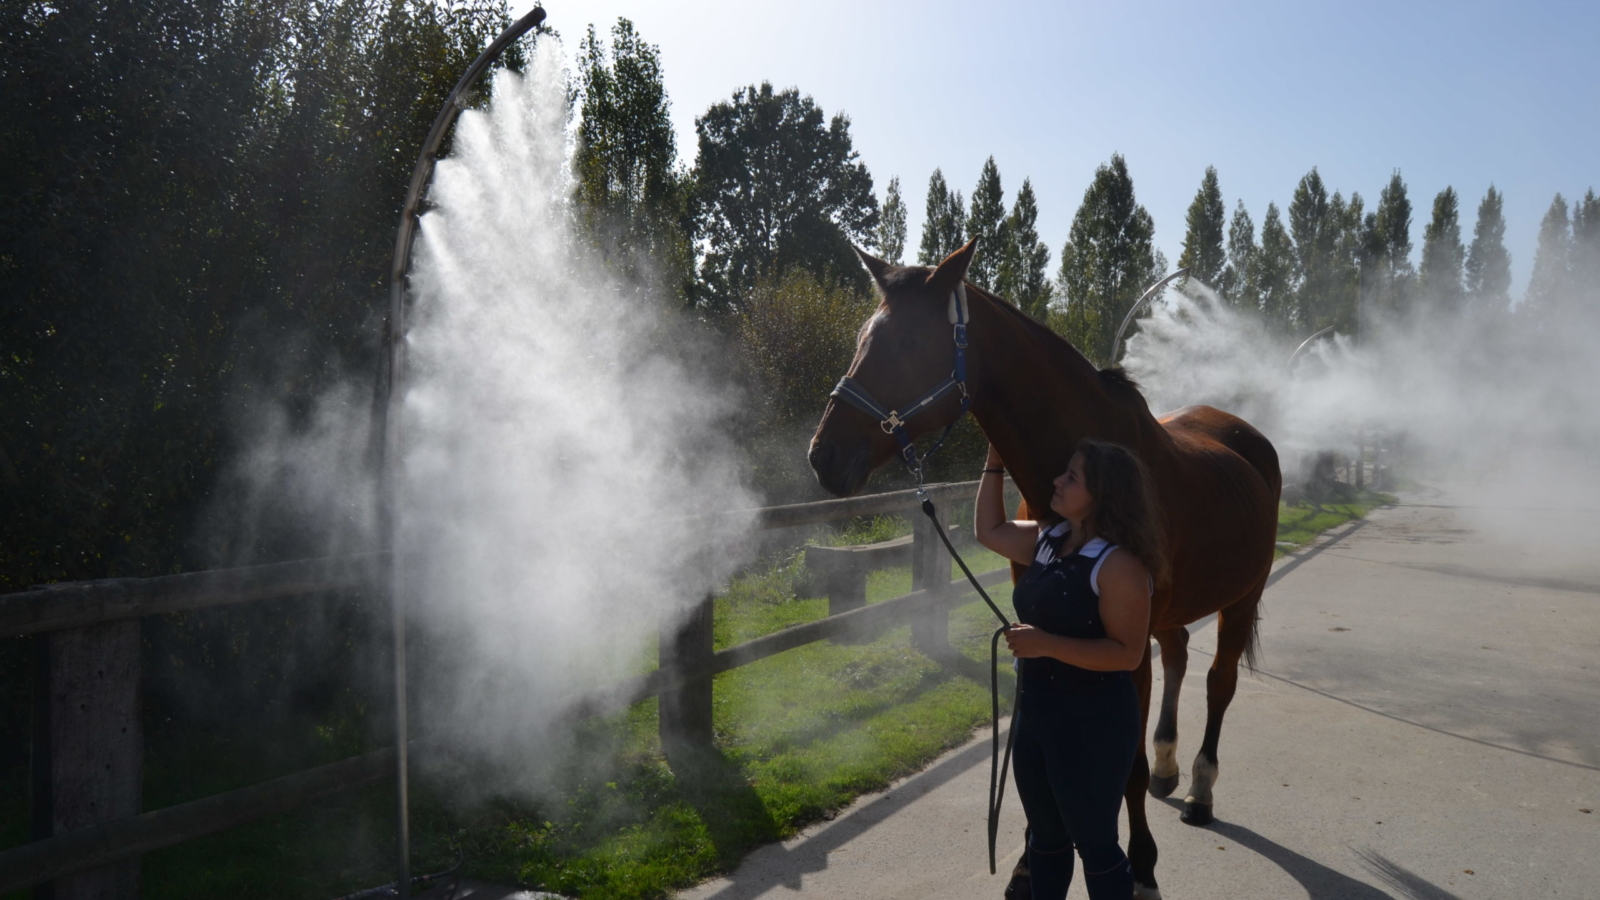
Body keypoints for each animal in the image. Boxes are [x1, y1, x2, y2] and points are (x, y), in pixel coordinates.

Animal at [806, 238, 1280, 896]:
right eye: (860, 337)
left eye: (907, 342)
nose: (823, 456)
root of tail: (1245, 436)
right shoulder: (1033, 624)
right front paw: (1030, 864)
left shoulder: (1123, 650)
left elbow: (1123, 772)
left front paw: (1143, 868)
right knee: (1181, 656)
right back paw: (1169, 764)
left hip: (1243, 597)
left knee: (1219, 682)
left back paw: (1200, 789)